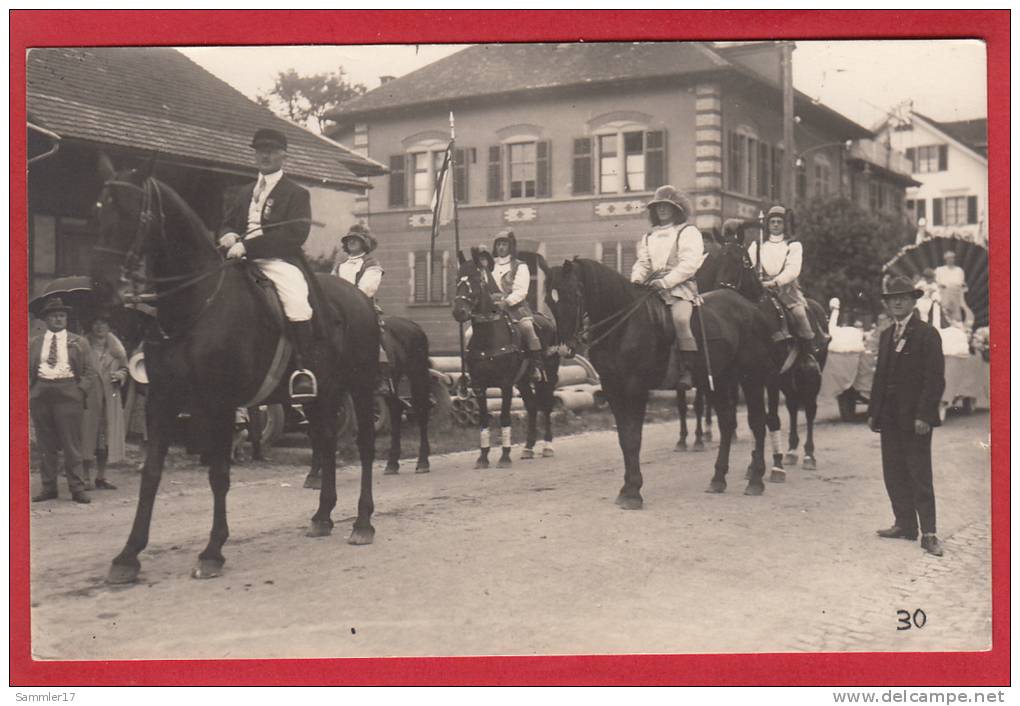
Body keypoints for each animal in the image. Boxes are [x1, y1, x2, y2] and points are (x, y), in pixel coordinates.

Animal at [90, 167, 379, 583]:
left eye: (129, 215)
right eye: (96, 213)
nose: (100, 289)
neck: (195, 304)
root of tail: (358, 297)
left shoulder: (220, 405)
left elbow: (219, 475)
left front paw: (212, 551)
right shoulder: (162, 401)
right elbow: (151, 474)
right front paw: (128, 556)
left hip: (361, 385)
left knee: (367, 446)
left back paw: (362, 523)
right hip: (321, 394)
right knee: (325, 444)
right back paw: (322, 517)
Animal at [452, 247, 563, 469]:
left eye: (476, 279)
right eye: (458, 279)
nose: (459, 312)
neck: (489, 337)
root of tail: (547, 321)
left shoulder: (505, 385)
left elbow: (504, 417)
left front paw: (504, 456)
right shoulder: (479, 386)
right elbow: (484, 420)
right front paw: (483, 457)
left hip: (547, 376)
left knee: (546, 406)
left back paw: (547, 446)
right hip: (523, 381)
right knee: (532, 407)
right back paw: (528, 448)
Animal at [550, 256, 779, 503]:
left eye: (573, 295)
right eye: (549, 300)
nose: (564, 349)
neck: (623, 326)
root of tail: (752, 308)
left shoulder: (636, 389)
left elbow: (634, 438)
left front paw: (633, 492)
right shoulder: (613, 389)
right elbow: (624, 438)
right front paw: (626, 489)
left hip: (751, 377)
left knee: (757, 423)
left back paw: (755, 480)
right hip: (718, 379)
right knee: (727, 423)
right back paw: (718, 479)